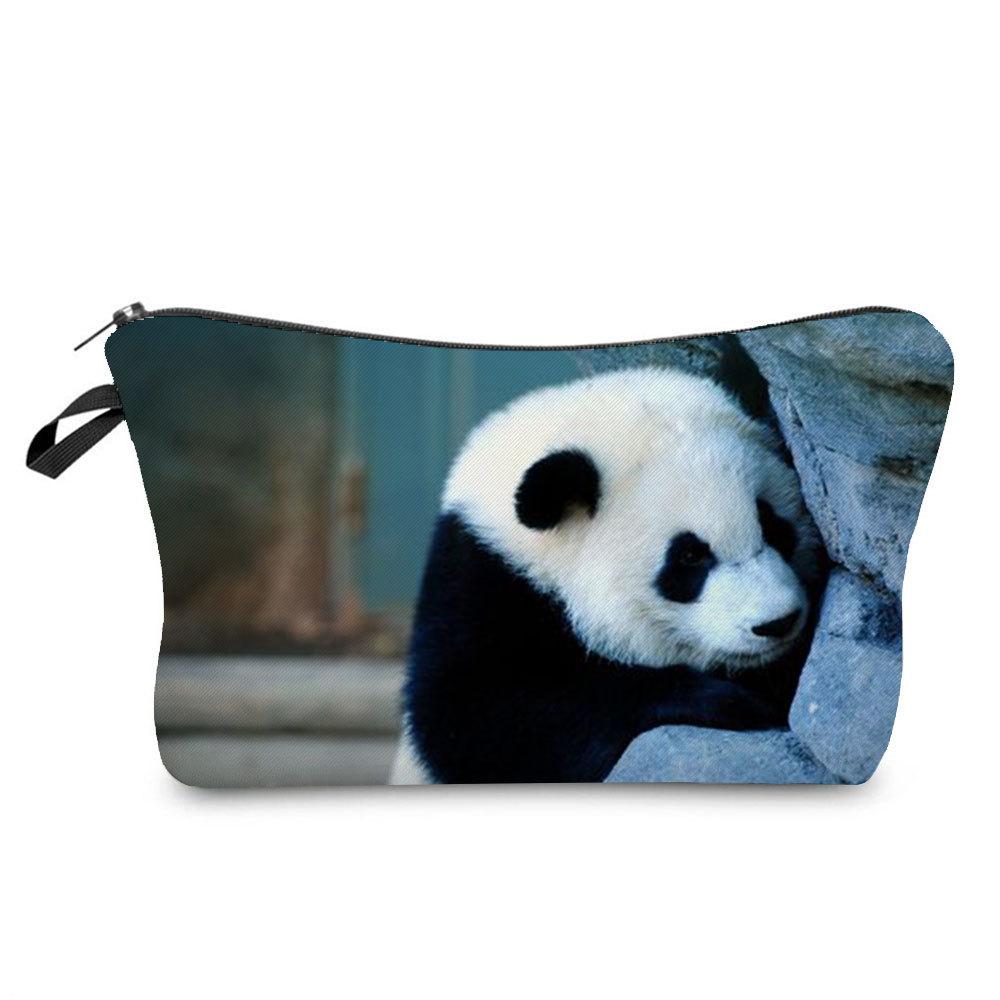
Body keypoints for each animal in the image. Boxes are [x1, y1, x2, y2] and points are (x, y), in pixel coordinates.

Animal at [391, 366, 824, 784]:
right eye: (689, 557)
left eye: (771, 525)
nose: (777, 622)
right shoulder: (480, 584)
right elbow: (480, 721)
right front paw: (726, 701)